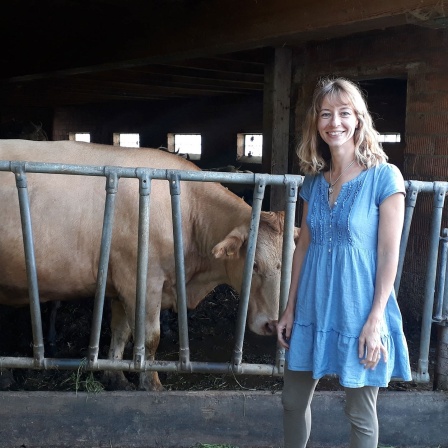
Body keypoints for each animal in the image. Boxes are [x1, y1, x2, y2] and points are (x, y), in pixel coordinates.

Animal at [0, 139, 300, 388]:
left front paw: (116, 377)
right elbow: (149, 337)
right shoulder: (142, 280)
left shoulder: (120, 283)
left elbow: (121, 332)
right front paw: (150, 382)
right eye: (254, 265)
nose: (273, 324)